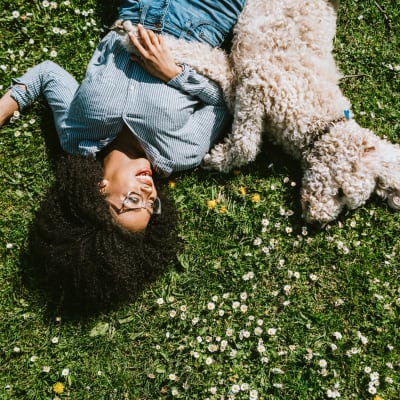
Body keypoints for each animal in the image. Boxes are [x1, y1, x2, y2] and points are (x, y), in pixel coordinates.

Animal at [203, 0, 400, 225]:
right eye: (340, 192)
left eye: (346, 204)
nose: (318, 222)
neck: (319, 122)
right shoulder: (259, 82)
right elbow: (246, 146)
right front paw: (219, 158)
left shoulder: (247, 84)